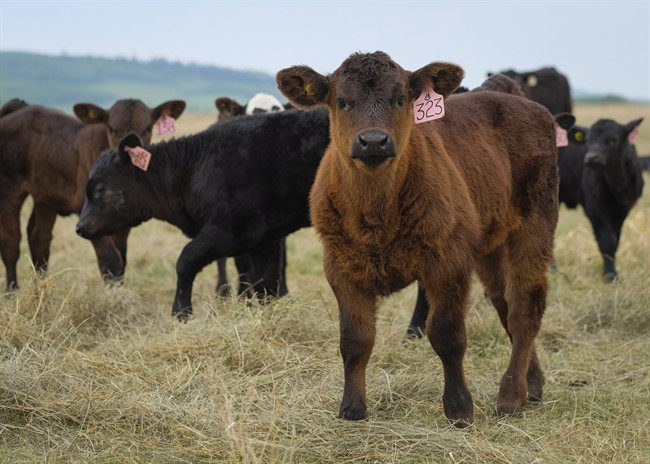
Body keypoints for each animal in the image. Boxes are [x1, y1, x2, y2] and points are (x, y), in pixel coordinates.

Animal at [0, 99, 185, 291]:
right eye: (112, 128)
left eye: (148, 128)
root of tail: (20, 108)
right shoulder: (90, 216)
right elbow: (111, 261)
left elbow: (122, 260)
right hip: (8, 188)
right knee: (11, 241)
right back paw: (12, 291)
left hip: (45, 196)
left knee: (39, 237)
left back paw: (40, 290)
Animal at [277, 51, 559, 426]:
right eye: (342, 101)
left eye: (401, 99)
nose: (373, 141)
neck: (376, 215)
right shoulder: (340, 267)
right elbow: (355, 339)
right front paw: (352, 408)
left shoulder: (448, 263)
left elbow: (446, 334)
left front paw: (459, 409)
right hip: (490, 245)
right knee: (505, 303)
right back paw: (533, 384)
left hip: (535, 224)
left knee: (525, 307)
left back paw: (511, 395)